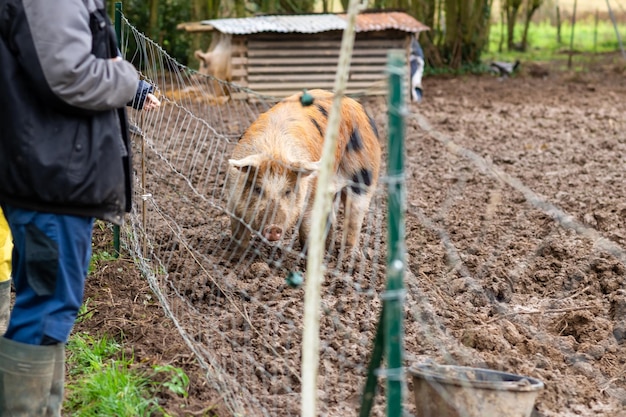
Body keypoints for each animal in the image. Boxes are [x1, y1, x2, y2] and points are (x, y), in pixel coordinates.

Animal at [225, 89, 380, 255]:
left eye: (288, 191)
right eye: (258, 189)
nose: (273, 228)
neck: (275, 150)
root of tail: (355, 103)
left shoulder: (312, 196)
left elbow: (308, 228)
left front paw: (309, 254)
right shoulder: (233, 199)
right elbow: (239, 233)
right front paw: (235, 256)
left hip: (364, 176)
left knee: (354, 219)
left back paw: (347, 254)